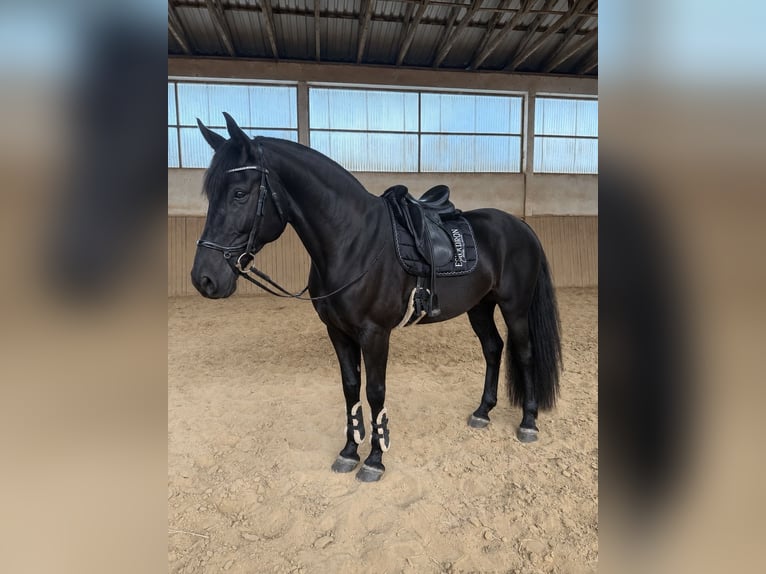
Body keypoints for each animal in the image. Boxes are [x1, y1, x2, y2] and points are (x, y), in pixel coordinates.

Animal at [190, 113, 562, 482]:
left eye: (239, 193)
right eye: (211, 195)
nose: (203, 279)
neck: (354, 242)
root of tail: (521, 227)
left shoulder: (375, 334)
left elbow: (375, 391)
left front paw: (374, 459)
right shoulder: (338, 332)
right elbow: (351, 387)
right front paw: (348, 452)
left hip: (515, 308)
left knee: (525, 354)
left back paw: (528, 423)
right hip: (480, 307)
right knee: (493, 348)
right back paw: (483, 411)